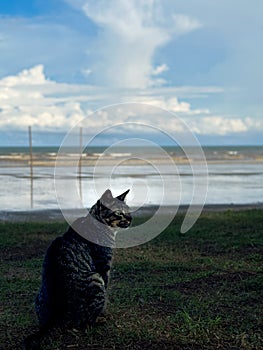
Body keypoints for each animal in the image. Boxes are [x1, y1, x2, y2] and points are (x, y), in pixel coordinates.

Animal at [24, 190, 132, 348]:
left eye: (129, 211)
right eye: (119, 213)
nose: (131, 219)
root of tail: (55, 316)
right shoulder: (103, 267)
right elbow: (105, 296)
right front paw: (103, 314)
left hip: (39, 295)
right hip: (96, 279)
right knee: (85, 322)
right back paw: (98, 320)